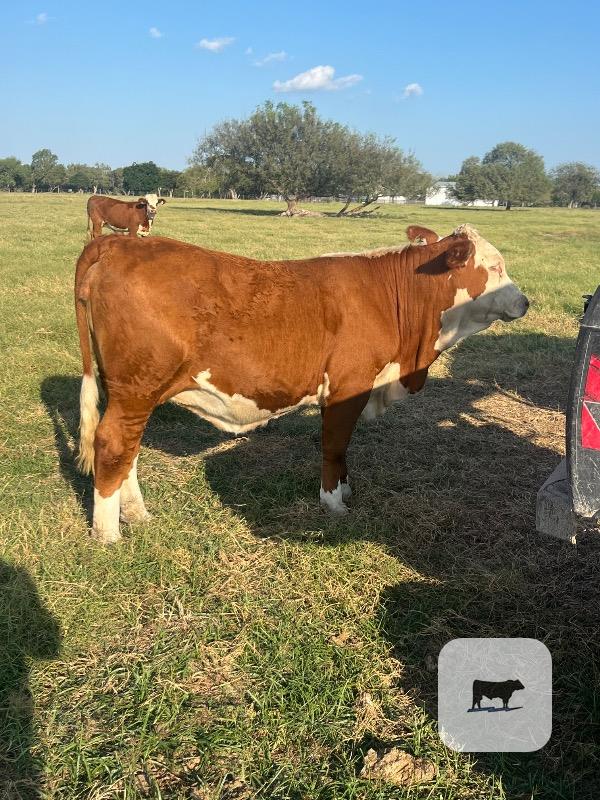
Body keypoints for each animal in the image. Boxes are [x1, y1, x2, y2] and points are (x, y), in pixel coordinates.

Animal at [74, 223, 529, 543]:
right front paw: (334, 504)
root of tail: (119, 244)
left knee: (127, 449)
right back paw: (108, 533)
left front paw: (346, 490)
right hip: (137, 386)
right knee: (112, 443)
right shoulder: (348, 386)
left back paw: (135, 514)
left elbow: (343, 451)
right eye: (495, 267)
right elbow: (335, 446)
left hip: (132, 392)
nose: (525, 301)